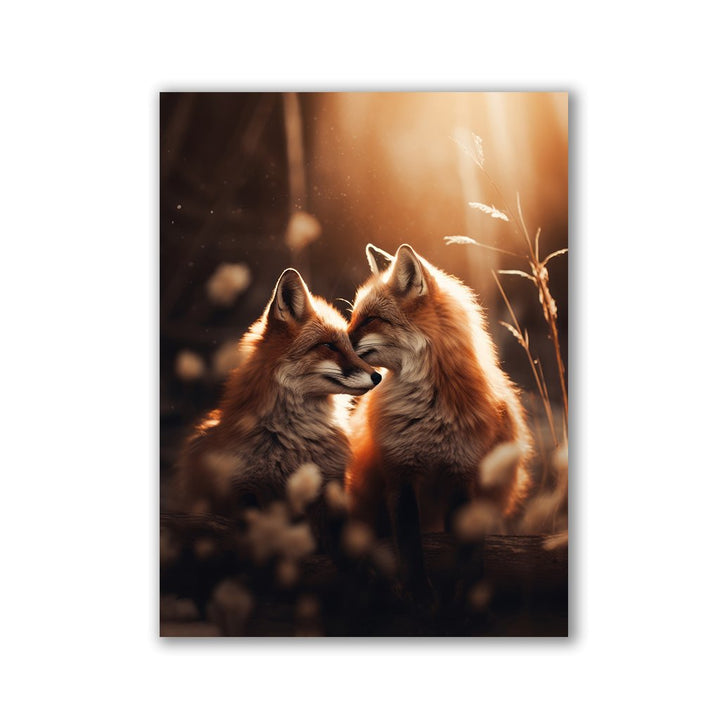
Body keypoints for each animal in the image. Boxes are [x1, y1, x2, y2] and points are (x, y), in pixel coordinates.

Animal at [173, 267, 382, 519]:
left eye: (352, 346)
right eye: (329, 346)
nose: (377, 376)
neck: (294, 441)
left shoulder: (331, 488)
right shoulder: (244, 492)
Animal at [345, 243, 532, 599]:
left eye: (371, 318)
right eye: (352, 316)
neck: (429, 412)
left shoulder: (464, 472)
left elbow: (467, 548)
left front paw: (463, 593)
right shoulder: (399, 472)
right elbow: (408, 543)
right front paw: (418, 591)